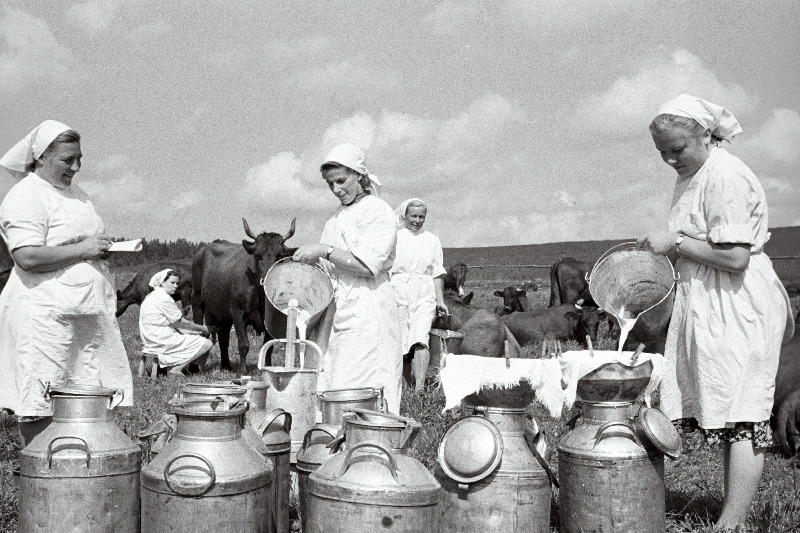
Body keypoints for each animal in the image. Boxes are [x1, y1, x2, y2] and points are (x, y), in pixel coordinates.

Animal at [191, 218, 296, 372]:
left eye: (280, 257)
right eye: (257, 256)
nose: (267, 279)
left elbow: (268, 347)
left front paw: (268, 368)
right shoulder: (238, 313)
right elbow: (243, 345)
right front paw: (241, 372)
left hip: (223, 312)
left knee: (223, 338)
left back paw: (226, 365)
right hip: (197, 300)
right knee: (200, 330)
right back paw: (195, 367)